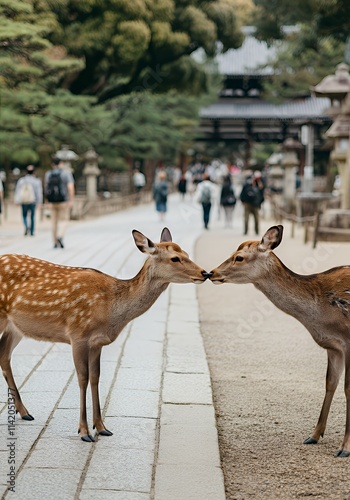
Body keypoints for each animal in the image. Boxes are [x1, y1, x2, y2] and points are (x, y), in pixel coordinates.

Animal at [0, 227, 211, 442]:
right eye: (175, 258)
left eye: (187, 253)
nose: (205, 273)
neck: (110, 311)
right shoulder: (78, 334)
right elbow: (82, 378)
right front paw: (84, 432)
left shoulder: (97, 342)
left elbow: (95, 377)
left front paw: (101, 427)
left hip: (15, 327)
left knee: (4, 355)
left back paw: (24, 412)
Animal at [211, 226, 350, 458]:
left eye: (239, 257)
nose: (210, 273)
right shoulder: (333, 346)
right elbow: (330, 383)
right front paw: (314, 435)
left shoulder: (348, 343)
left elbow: (348, 388)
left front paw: (345, 448)